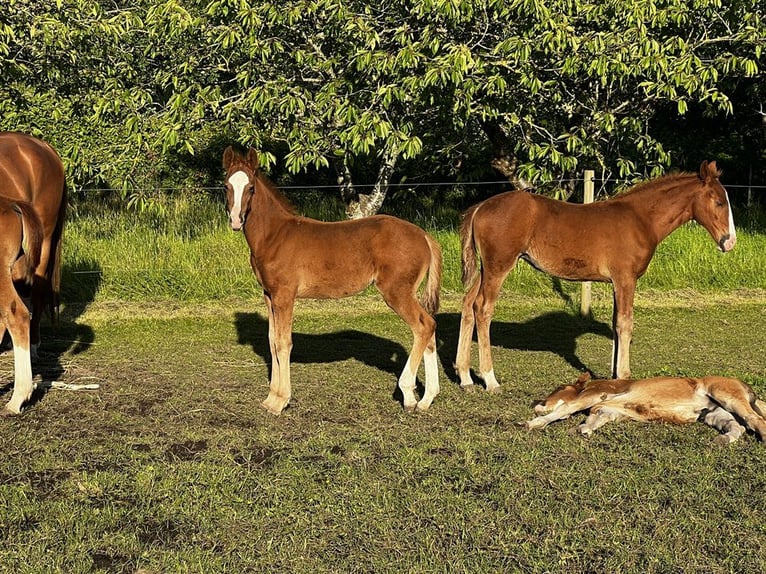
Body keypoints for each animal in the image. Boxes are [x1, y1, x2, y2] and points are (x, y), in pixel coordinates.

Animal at [222, 146, 444, 416]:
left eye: (251, 187)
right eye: (226, 185)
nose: (236, 221)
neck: (275, 236)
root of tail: (423, 236)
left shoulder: (284, 295)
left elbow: (284, 343)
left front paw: (280, 401)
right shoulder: (269, 295)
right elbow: (272, 341)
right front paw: (271, 398)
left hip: (397, 292)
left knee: (423, 326)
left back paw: (409, 395)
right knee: (430, 327)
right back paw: (426, 399)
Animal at [456, 162, 736, 392]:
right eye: (719, 202)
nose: (729, 242)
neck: (641, 219)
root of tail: (480, 207)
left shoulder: (616, 283)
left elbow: (615, 322)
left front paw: (613, 375)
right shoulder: (626, 279)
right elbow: (625, 323)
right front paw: (624, 375)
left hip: (485, 268)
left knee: (468, 304)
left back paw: (465, 377)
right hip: (499, 265)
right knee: (483, 308)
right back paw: (490, 379)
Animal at [524, 372, 766, 448]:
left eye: (560, 388)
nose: (537, 403)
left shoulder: (594, 396)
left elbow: (566, 408)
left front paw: (531, 422)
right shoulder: (609, 409)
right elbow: (595, 417)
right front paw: (582, 429)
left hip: (726, 394)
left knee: (756, 420)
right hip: (716, 413)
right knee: (739, 427)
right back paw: (720, 441)